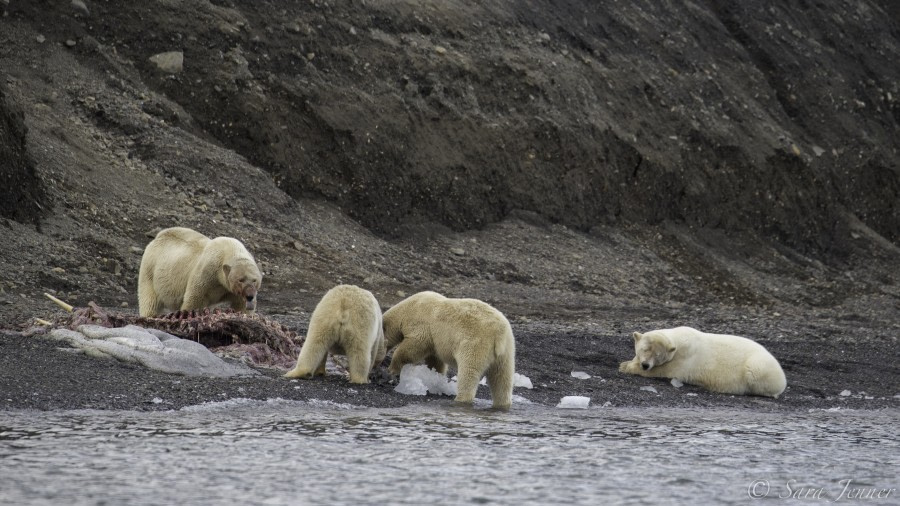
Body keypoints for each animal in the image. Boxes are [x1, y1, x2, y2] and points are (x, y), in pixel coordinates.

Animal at [384, 290, 516, 410]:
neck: (406, 309)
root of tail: (499, 334)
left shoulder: (420, 324)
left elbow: (411, 348)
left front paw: (392, 369)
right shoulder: (435, 341)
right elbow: (435, 361)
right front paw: (434, 377)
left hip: (476, 344)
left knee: (469, 373)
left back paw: (460, 399)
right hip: (507, 351)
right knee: (502, 379)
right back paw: (502, 404)